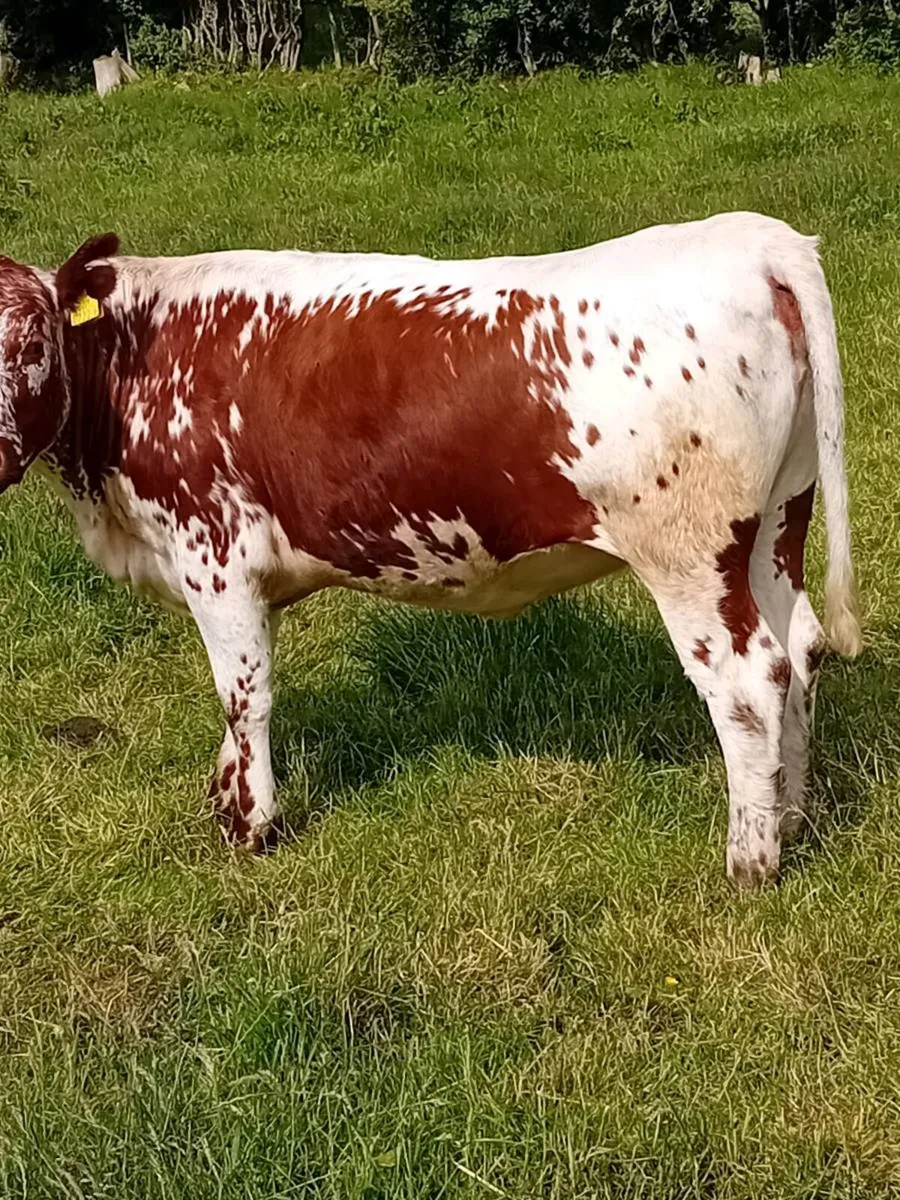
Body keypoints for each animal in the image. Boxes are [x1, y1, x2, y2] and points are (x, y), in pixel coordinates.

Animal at [0, 212, 862, 887]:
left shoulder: (215, 551)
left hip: (689, 551)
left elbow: (245, 694)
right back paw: (790, 818)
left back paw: (750, 861)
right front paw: (224, 795)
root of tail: (753, 238)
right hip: (778, 519)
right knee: (800, 649)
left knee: (748, 682)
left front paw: (251, 827)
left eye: (32, 343)